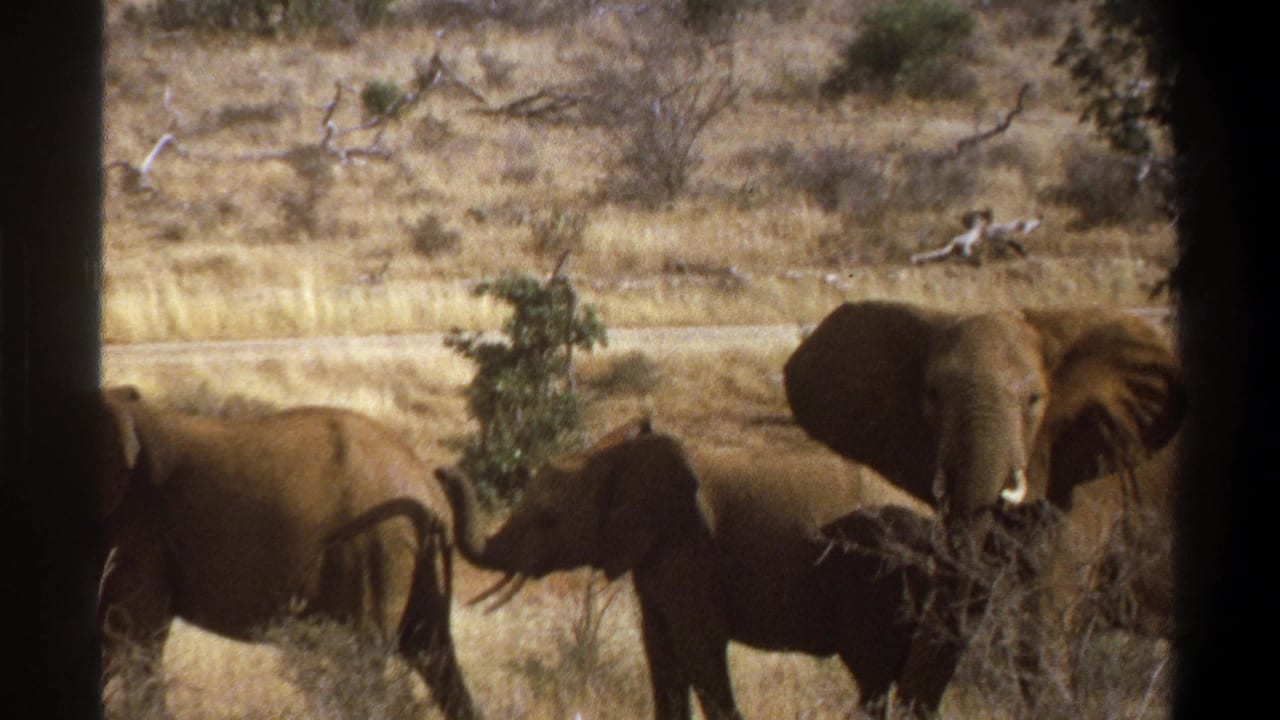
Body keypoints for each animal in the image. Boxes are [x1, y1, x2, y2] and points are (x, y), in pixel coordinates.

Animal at [95, 385, 481, 720]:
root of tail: (428, 484)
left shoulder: (141, 527)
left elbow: (135, 635)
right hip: (412, 558)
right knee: (434, 653)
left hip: (377, 552)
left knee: (367, 663)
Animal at [433, 417, 1001, 720]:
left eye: (548, 519)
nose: (439, 471)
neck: (614, 455)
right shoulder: (657, 558)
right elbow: (661, 652)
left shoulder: (691, 551)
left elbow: (699, 649)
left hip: (880, 578)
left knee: (875, 675)